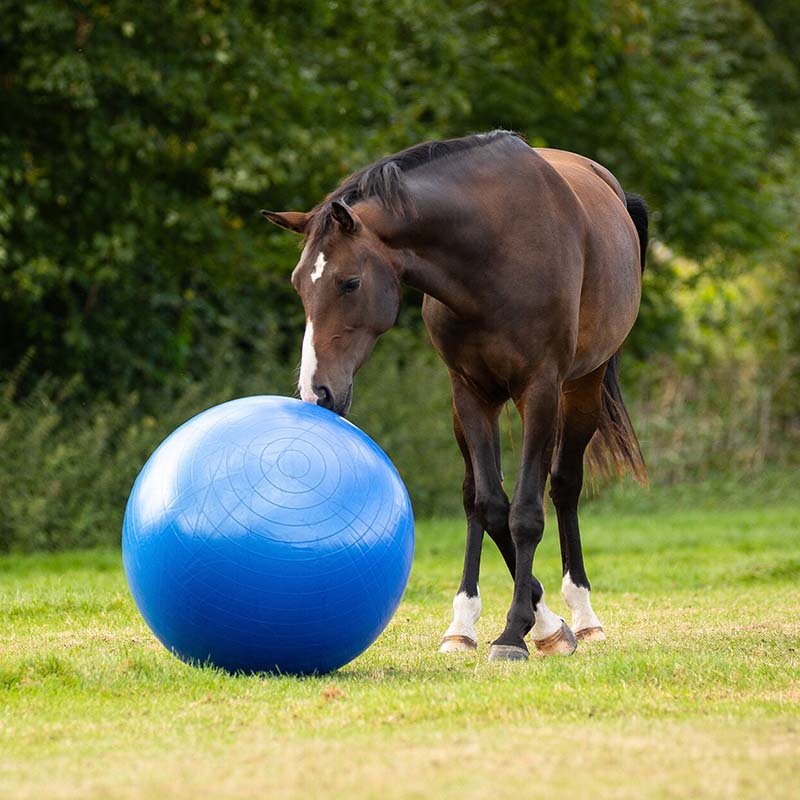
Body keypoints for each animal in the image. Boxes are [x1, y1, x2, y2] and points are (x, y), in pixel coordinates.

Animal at [262, 130, 647, 661]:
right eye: (299, 284)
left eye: (350, 282)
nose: (316, 390)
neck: (493, 250)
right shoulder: (470, 394)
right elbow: (491, 505)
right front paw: (541, 624)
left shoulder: (540, 390)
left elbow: (526, 513)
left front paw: (516, 634)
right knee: (475, 499)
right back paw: (464, 624)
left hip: (580, 389)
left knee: (564, 486)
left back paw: (584, 616)